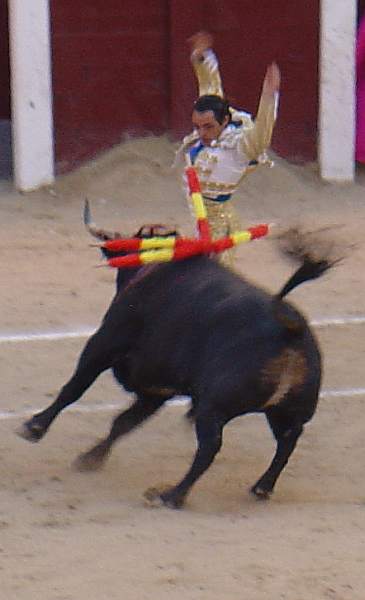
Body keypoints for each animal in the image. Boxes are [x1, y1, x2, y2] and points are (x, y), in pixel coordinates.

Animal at [18, 224, 334, 506]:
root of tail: (290, 327)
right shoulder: (157, 390)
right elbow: (124, 422)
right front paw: (91, 458)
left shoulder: (104, 343)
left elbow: (73, 389)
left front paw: (34, 427)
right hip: (288, 410)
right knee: (288, 441)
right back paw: (261, 488)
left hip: (213, 407)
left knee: (210, 447)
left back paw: (172, 495)